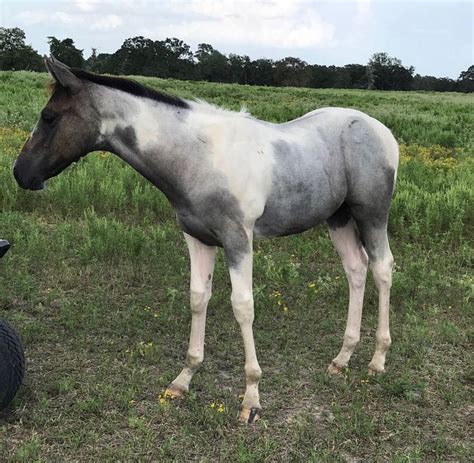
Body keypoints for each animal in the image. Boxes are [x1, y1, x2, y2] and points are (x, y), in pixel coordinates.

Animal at [14, 57, 398, 424]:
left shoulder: (238, 240)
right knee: (356, 269)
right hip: (339, 218)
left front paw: (251, 400)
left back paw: (378, 360)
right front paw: (183, 379)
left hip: (372, 215)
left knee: (382, 269)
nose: (21, 173)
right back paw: (342, 357)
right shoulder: (198, 239)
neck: (198, 157)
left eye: (48, 116)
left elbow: (243, 307)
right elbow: (198, 298)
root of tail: (384, 132)